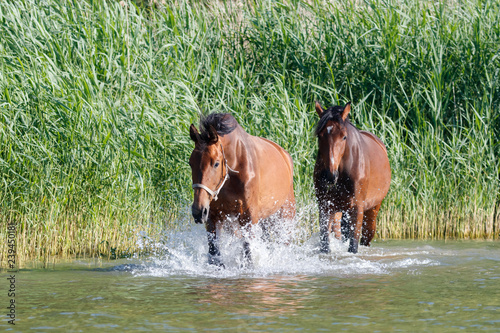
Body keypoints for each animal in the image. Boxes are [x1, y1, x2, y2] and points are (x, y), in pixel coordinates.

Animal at [189, 113, 294, 266]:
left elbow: (248, 252)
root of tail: (284, 155)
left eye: (216, 163)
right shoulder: (212, 216)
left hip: (285, 215)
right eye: (190, 163)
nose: (198, 211)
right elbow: (214, 253)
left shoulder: (248, 217)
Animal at [312, 101, 390, 252]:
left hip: (372, 212)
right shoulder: (324, 206)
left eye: (344, 136)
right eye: (319, 136)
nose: (330, 175)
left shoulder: (357, 209)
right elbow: (325, 244)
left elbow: (353, 245)